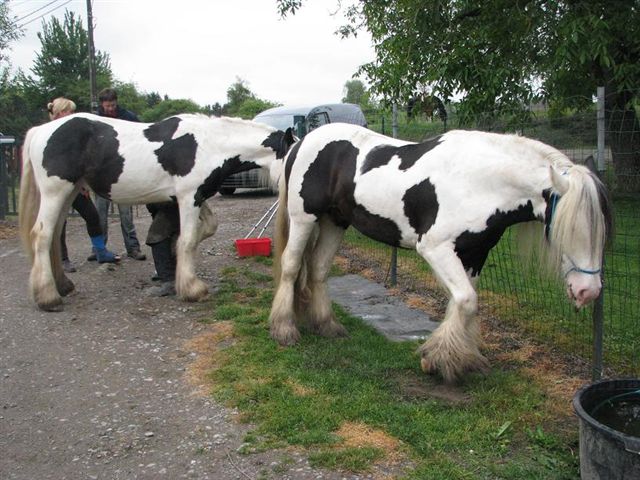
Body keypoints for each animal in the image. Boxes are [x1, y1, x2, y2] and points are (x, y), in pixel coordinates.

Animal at [19, 111, 296, 312]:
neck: (209, 145)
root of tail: (40, 131)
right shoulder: (188, 197)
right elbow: (188, 240)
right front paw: (192, 288)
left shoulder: (190, 198)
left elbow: (204, 229)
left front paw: (174, 265)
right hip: (56, 193)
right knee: (42, 236)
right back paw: (48, 298)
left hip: (70, 193)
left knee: (54, 238)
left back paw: (62, 286)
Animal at [268, 123, 608, 382]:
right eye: (569, 230)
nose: (588, 291)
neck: (480, 180)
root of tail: (303, 141)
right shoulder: (435, 248)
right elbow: (467, 300)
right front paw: (439, 361)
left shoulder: (474, 254)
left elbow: (463, 302)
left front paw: (459, 357)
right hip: (304, 218)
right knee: (291, 265)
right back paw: (284, 329)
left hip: (334, 221)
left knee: (318, 269)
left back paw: (327, 326)